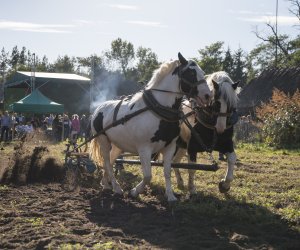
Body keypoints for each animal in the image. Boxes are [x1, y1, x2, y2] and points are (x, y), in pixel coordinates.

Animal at [89, 52, 211, 201]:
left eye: (203, 73)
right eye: (191, 73)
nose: (208, 95)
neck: (159, 110)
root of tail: (98, 109)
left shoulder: (170, 147)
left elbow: (167, 172)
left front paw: (170, 196)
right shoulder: (144, 149)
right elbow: (148, 176)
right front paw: (134, 191)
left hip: (118, 145)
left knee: (111, 162)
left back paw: (106, 184)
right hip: (103, 141)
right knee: (107, 161)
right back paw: (116, 188)